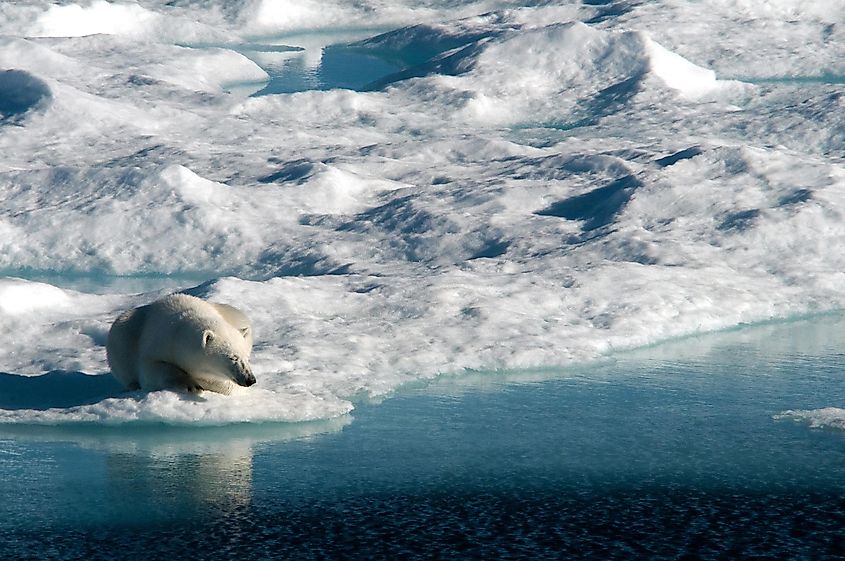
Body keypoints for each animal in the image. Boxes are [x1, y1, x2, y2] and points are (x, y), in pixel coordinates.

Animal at [107, 294, 256, 394]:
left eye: (246, 357)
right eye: (232, 357)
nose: (250, 379)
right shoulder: (157, 343)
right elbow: (151, 370)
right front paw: (191, 384)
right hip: (122, 335)